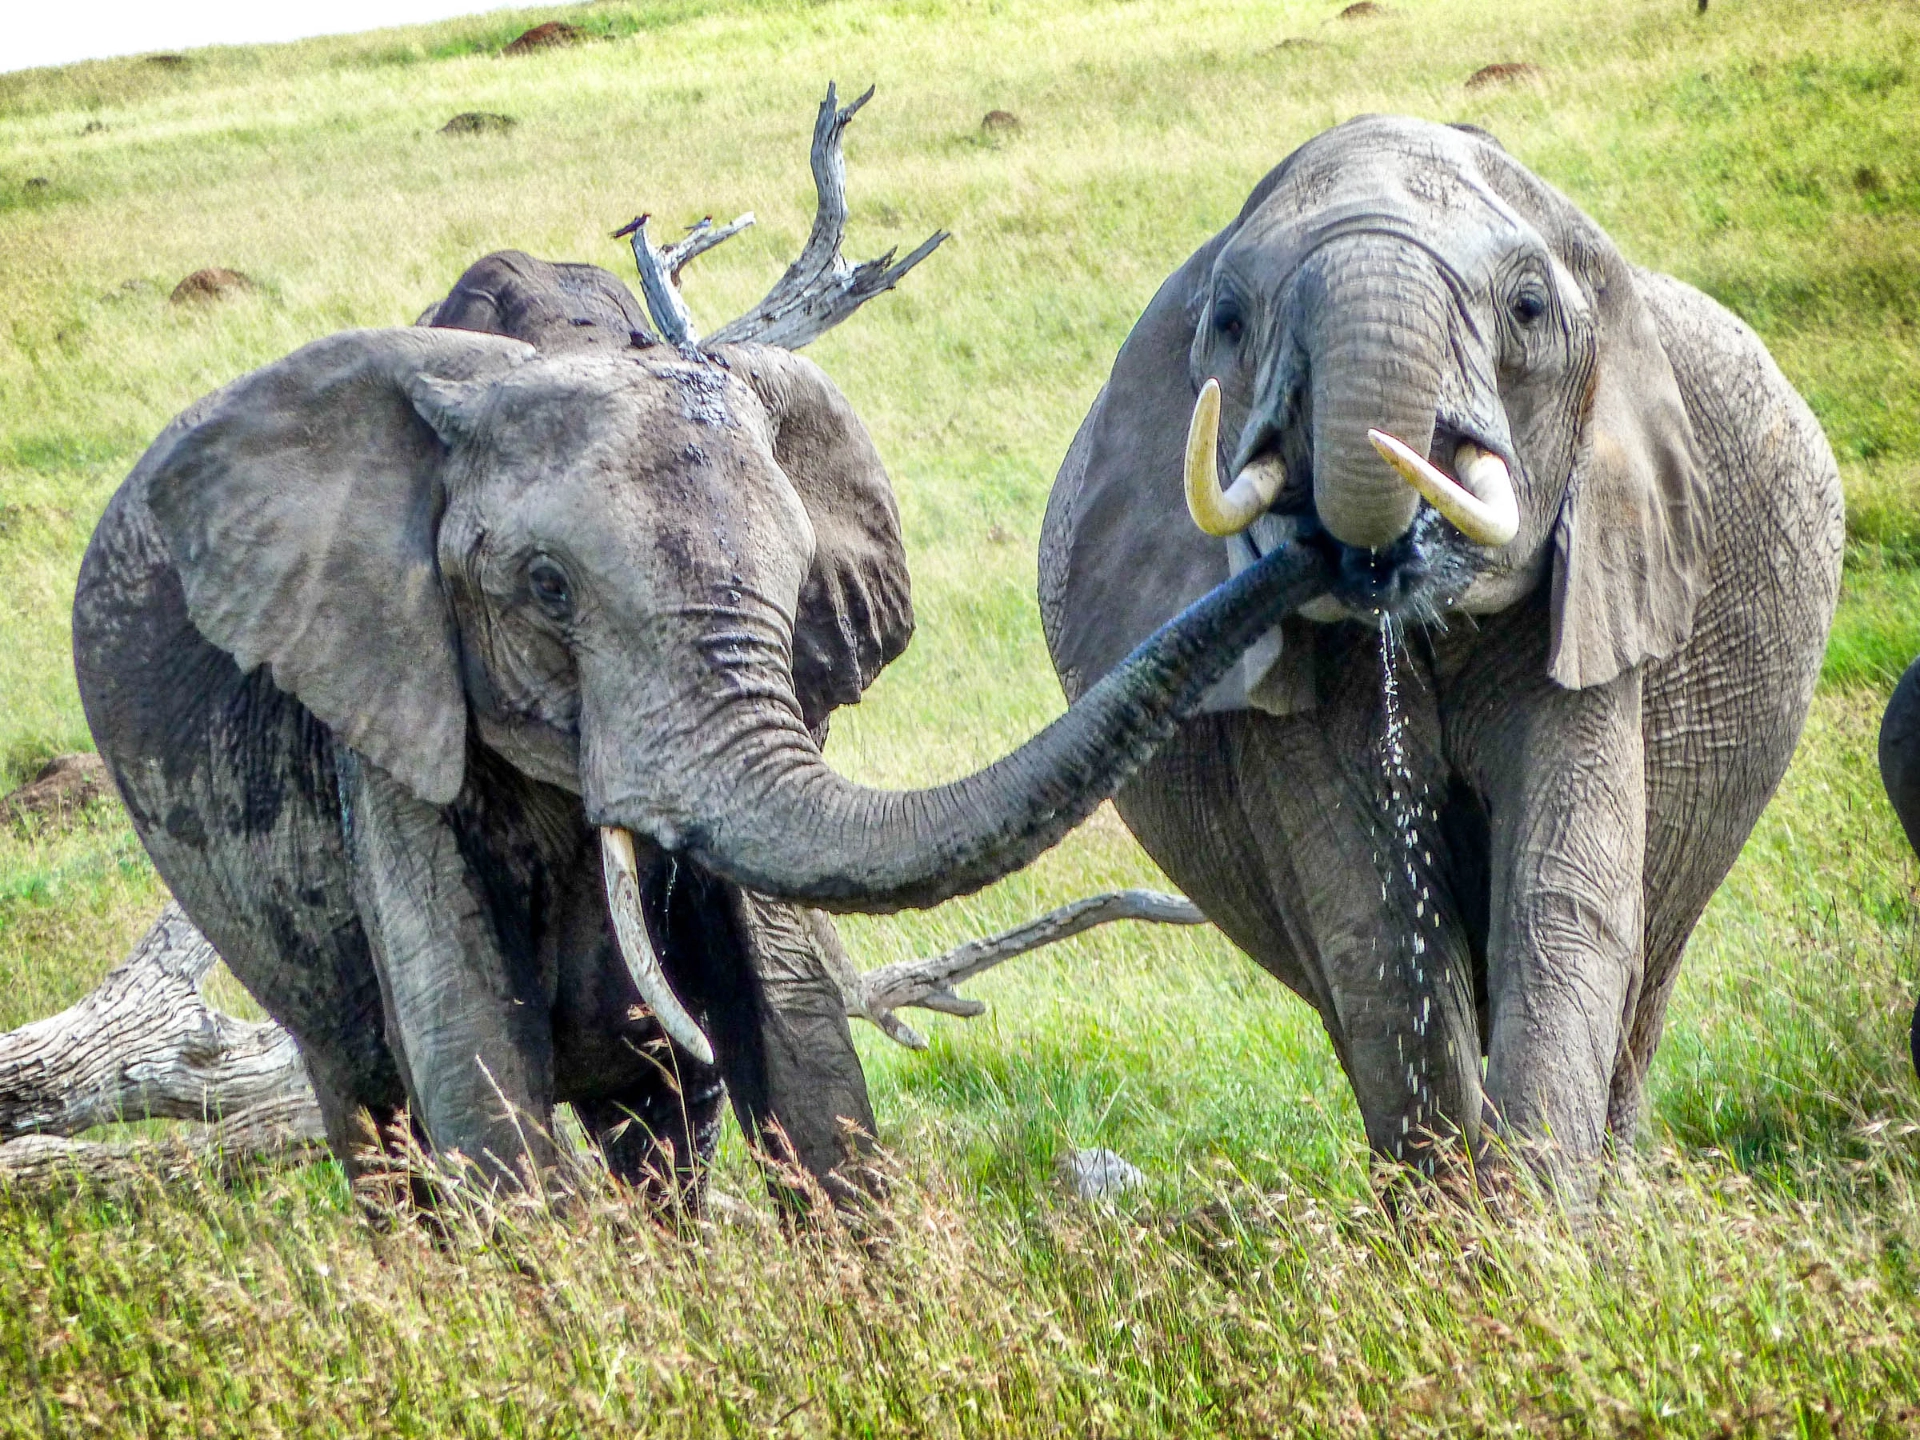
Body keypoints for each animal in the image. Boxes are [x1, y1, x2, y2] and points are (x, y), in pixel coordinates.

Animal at [1036, 115, 1843, 1198]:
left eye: (1529, 309)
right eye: (1232, 321)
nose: (1368, 548)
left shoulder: (1600, 588)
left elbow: (1560, 901)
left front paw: (1533, 1233)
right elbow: (1376, 926)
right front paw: (1455, 1233)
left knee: (1645, 975)